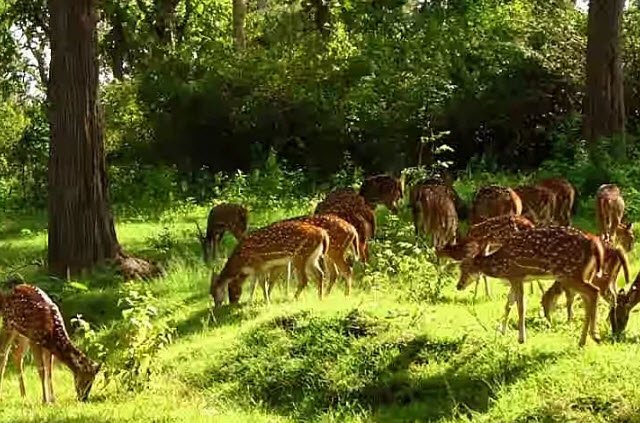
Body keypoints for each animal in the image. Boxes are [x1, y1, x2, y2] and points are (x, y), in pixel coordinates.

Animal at [456, 226, 604, 346]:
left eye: (466, 267)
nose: (458, 285)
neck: (501, 265)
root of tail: (593, 244)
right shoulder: (515, 279)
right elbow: (508, 303)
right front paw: (502, 331)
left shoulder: (517, 275)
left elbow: (521, 306)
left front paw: (521, 338)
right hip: (586, 274)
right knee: (588, 297)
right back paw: (588, 338)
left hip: (570, 274)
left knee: (594, 291)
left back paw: (590, 337)